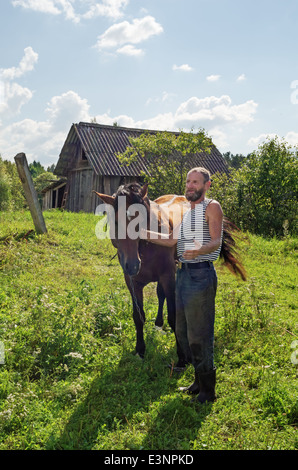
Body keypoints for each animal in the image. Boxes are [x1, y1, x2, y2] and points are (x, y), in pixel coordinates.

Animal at [93, 182, 247, 362]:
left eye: (141, 223)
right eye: (116, 222)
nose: (132, 265)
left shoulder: (167, 277)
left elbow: (173, 316)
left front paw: (182, 355)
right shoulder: (132, 283)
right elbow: (138, 316)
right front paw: (140, 350)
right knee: (160, 295)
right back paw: (158, 323)